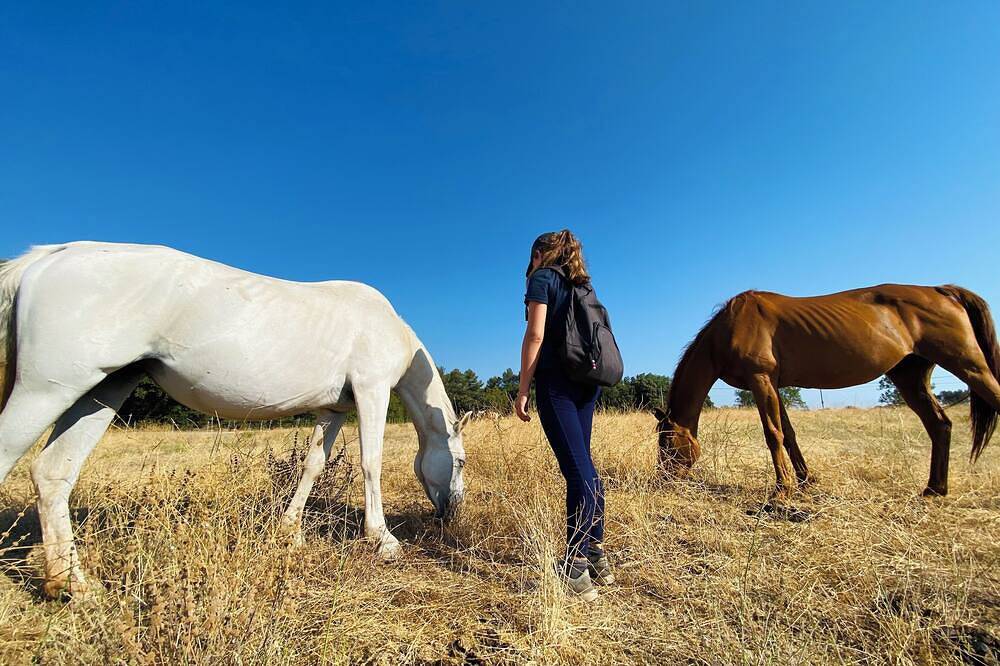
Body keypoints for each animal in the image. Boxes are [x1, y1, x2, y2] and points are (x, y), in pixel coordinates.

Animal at [0, 241, 470, 600]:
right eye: (461, 461)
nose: (453, 512)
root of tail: (49, 256)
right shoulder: (371, 392)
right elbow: (371, 463)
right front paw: (382, 538)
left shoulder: (333, 411)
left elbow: (312, 465)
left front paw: (290, 532)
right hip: (47, 390)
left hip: (103, 390)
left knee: (52, 473)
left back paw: (73, 586)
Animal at [653, 284, 1000, 500]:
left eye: (667, 443)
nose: (663, 480)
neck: (729, 328)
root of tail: (943, 291)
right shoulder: (774, 384)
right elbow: (789, 435)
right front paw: (805, 480)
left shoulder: (761, 379)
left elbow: (773, 434)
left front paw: (782, 490)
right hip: (909, 377)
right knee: (939, 426)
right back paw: (933, 490)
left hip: (969, 365)